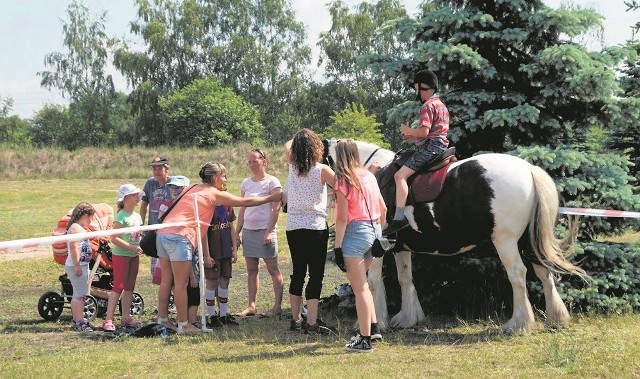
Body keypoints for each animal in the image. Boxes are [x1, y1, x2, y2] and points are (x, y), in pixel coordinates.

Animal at [328, 140, 588, 336]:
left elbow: (372, 283)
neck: (372, 175)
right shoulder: (400, 247)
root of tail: (528, 170)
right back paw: (555, 318)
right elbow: (404, 278)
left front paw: (372, 324)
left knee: (517, 274)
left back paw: (518, 324)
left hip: (505, 241)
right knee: (544, 272)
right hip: (528, 241)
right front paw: (407, 318)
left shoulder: (377, 247)